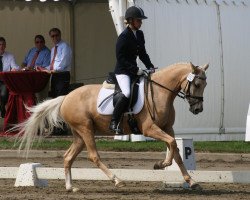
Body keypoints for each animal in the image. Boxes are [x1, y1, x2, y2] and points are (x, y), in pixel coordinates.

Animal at [16, 61, 209, 191]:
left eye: (205, 85)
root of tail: (66, 97)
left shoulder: (168, 128)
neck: (160, 92)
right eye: (197, 84)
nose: (198, 109)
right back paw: (117, 180)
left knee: (68, 157)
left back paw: (71, 187)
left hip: (80, 134)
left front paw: (191, 181)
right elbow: (172, 144)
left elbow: (176, 150)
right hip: (86, 129)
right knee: (93, 156)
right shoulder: (149, 129)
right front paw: (161, 164)